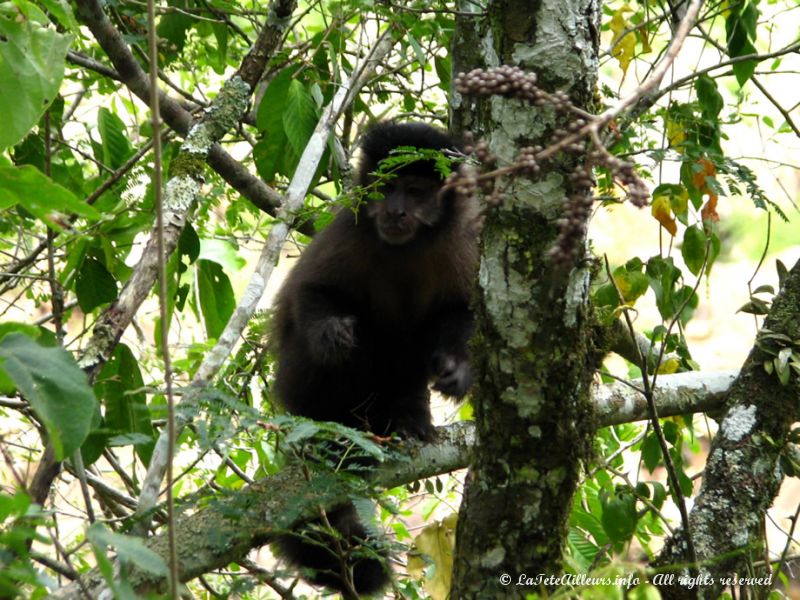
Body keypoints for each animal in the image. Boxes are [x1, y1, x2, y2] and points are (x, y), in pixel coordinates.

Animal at [272, 120, 478, 596]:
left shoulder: (460, 241)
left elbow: (458, 313)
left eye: (415, 191)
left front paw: (456, 372)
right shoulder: (348, 230)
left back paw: (406, 420)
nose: (396, 212)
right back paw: (333, 437)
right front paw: (330, 332)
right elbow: (311, 293)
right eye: (387, 187)